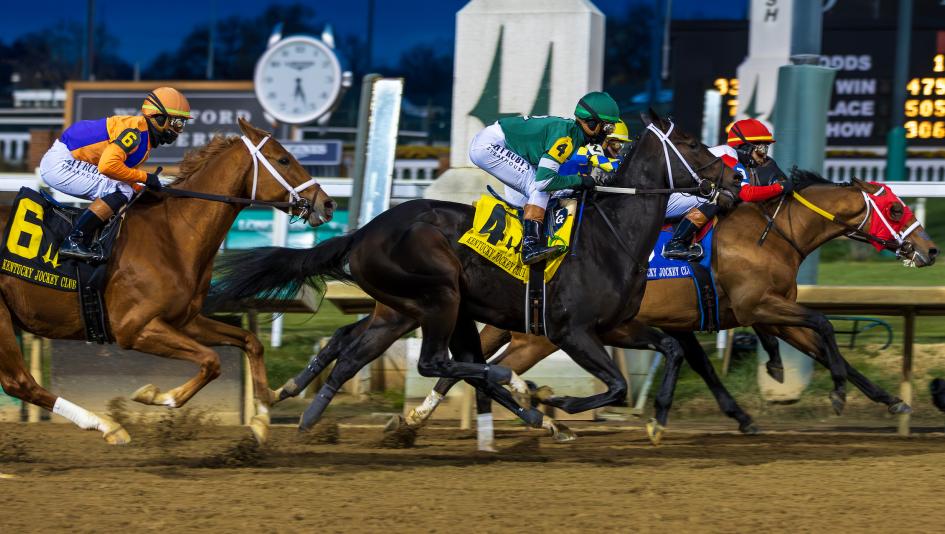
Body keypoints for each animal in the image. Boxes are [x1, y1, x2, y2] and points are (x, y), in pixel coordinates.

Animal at [0, 118, 334, 444]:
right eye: (284, 159)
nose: (327, 203)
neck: (172, 233)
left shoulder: (185, 320)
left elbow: (251, 342)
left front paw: (262, 416)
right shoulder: (134, 329)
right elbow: (211, 361)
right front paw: (158, 396)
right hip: (4, 318)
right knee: (19, 382)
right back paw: (108, 426)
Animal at [214, 109, 743, 436]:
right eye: (692, 143)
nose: (735, 178)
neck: (609, 234)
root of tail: (363, 232)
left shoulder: (614, 325)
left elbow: (672, 349)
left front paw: (656, 419)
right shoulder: (570, 330)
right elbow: (614, 386)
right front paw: (560, 404)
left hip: (403, 310)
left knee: (354, 351)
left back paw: (305, 408)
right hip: (440, 298)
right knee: (435, 362)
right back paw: (521, 390)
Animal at [399, 172, 938, 445]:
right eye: (895, 209)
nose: (930, 251)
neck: (774, 233)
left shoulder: (767, 311)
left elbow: (824, 348)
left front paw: (890, 400)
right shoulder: (760, 306)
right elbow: (825, 328)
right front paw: (840, 395)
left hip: (518, 328)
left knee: (475, 366)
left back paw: (416, 421)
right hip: (539, 337)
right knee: (493, 369)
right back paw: (536, 413)